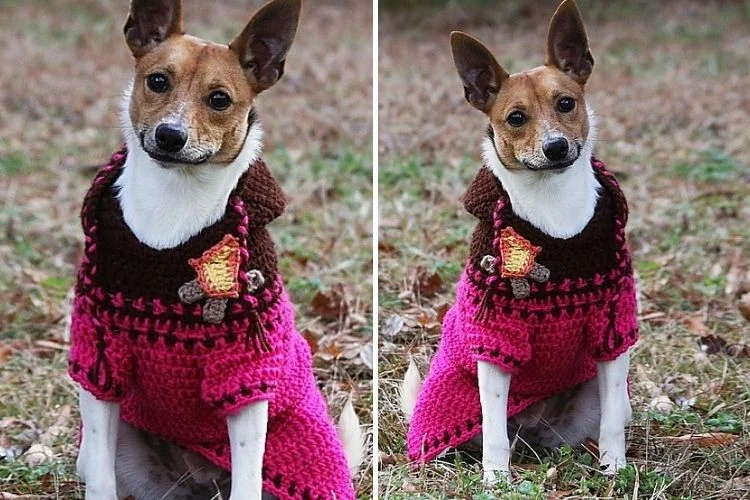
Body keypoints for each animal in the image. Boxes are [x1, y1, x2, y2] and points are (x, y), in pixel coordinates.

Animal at [69, 0, 362, 500]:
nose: (170, 136)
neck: (173, 202)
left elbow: (247, 474)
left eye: (220, 99)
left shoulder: (244, 376)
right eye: (158, 81)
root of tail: (199, 482)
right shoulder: (100, 359)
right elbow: (102, 476)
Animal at [406, 0, 640, 484]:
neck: (553, 205)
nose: (556, 147)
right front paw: (496, 480)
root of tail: (531, 433)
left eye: (566, 103)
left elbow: (612, 418)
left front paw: (615, 469)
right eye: (516, 118)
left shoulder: (612, 328)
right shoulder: (496, 340)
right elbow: (493, 424)